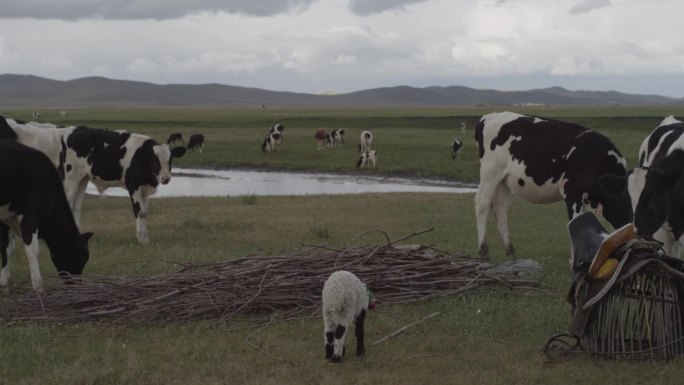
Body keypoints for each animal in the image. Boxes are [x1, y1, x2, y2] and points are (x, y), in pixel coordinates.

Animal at [0, 140, 92, 290]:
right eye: (83, 257)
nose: (77, 284)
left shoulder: (6, 218)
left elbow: (6, 249)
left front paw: (4, 283)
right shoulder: (30, 216)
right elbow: (32, 251)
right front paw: (38, 286)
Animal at [3, 115, 187, 244]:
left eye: (170, 160)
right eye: (155, 160)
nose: (166, 178)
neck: (141, 157)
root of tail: (70, 131)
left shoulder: (145, 189)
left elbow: (144, 212)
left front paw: (145, 237)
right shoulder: (133, 185)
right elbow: (138, 211)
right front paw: (142, 240)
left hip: (82, 179)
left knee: (76, 207)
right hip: (72, 177)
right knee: (69, 203)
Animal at [476, 112, 632, 260]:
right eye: (624, 202)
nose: (631, 229)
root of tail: (487, 117)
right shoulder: (572, 192)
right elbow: (575, 222)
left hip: (504, 181)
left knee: (500, 209)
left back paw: (511, 253)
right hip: (490, 173)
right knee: (482, 205)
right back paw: (483, 251)